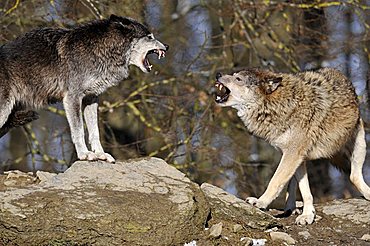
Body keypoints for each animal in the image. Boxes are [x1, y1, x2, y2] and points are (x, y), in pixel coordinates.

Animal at [214, 67, 370, 225]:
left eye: (238, 79)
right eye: (233, 75)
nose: (218, 74)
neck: (278, 105)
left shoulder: (293, 153)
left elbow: (275, 181)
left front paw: (261, 202)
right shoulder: (293, 155)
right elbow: (304, 190)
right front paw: (307, 214)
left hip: (359, 144)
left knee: (353, 176)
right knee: (293, 185)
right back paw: (290, 208)